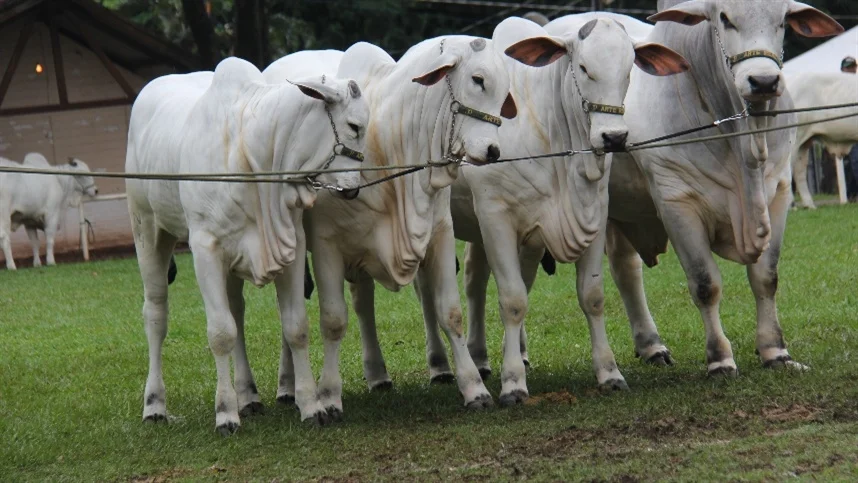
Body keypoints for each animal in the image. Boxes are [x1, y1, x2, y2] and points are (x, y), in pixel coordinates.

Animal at [126, 57, 368, 433]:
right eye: (354, 126)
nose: (354, 189)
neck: (251, 152)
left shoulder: (291, 244)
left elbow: (295, 327)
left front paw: (311, 405)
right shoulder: (205, 250)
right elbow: (220, 332)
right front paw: (225, 413)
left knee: (236, 312)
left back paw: (248, 395)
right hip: (147, 230)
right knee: (156, 314)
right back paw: (155, 405)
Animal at [262, 33, 562, 417]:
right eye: (478, 79)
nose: (494, 151)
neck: (392, 151)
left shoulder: (440, 233)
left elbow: (450, 312)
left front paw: (474, 388)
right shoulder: (327, 244)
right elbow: (332, 321)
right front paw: (327, 396)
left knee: (362, 303)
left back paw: (377, 374)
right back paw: (287, 388)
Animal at [604, 0, 842, 378]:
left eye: (783, 20)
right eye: (725, 18)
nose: (763, 81)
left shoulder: (779, 193)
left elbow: (766, 277)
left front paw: (775, 351)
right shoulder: (676, 202)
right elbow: (706, 285)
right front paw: (719, 358)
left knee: (625, 269)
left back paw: (652, 346)